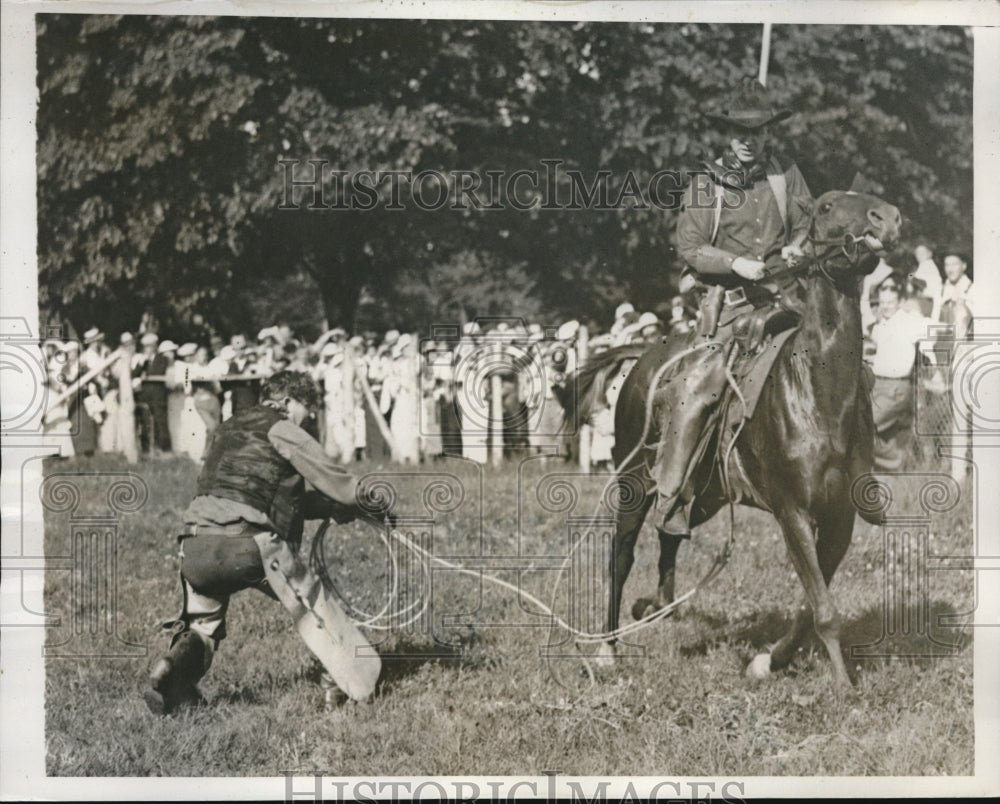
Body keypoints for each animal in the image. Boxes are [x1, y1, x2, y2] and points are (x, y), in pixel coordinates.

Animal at [568, 188, 904, 684]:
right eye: (825, 206)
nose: (889, 218)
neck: (816, 391)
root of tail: (643, 357)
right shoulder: (792, 511)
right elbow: (824, 609)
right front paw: (844, 686)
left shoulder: (840, 517)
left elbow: (811, 602)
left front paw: (770, 660)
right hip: (634, 482)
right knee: (622, 556)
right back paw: (607, 648)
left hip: (701, 492)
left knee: (669, 534)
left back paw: (657, 605)